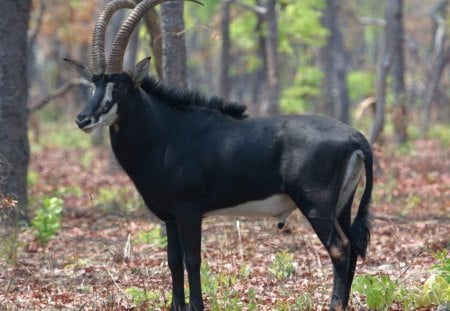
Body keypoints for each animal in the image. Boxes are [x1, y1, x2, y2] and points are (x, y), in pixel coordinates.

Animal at [63, 1, 372, 310]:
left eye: (120, 86)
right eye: (94, 84)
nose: (82, 119)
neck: (165, 133)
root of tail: (356, 137)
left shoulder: (189, 211)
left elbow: (192, 260)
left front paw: (197, 305)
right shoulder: (170, 217)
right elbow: (173, 261)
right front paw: (177, 305)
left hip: (316, 207)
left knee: (340, 249)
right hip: (341, 207)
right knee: (353, 248)